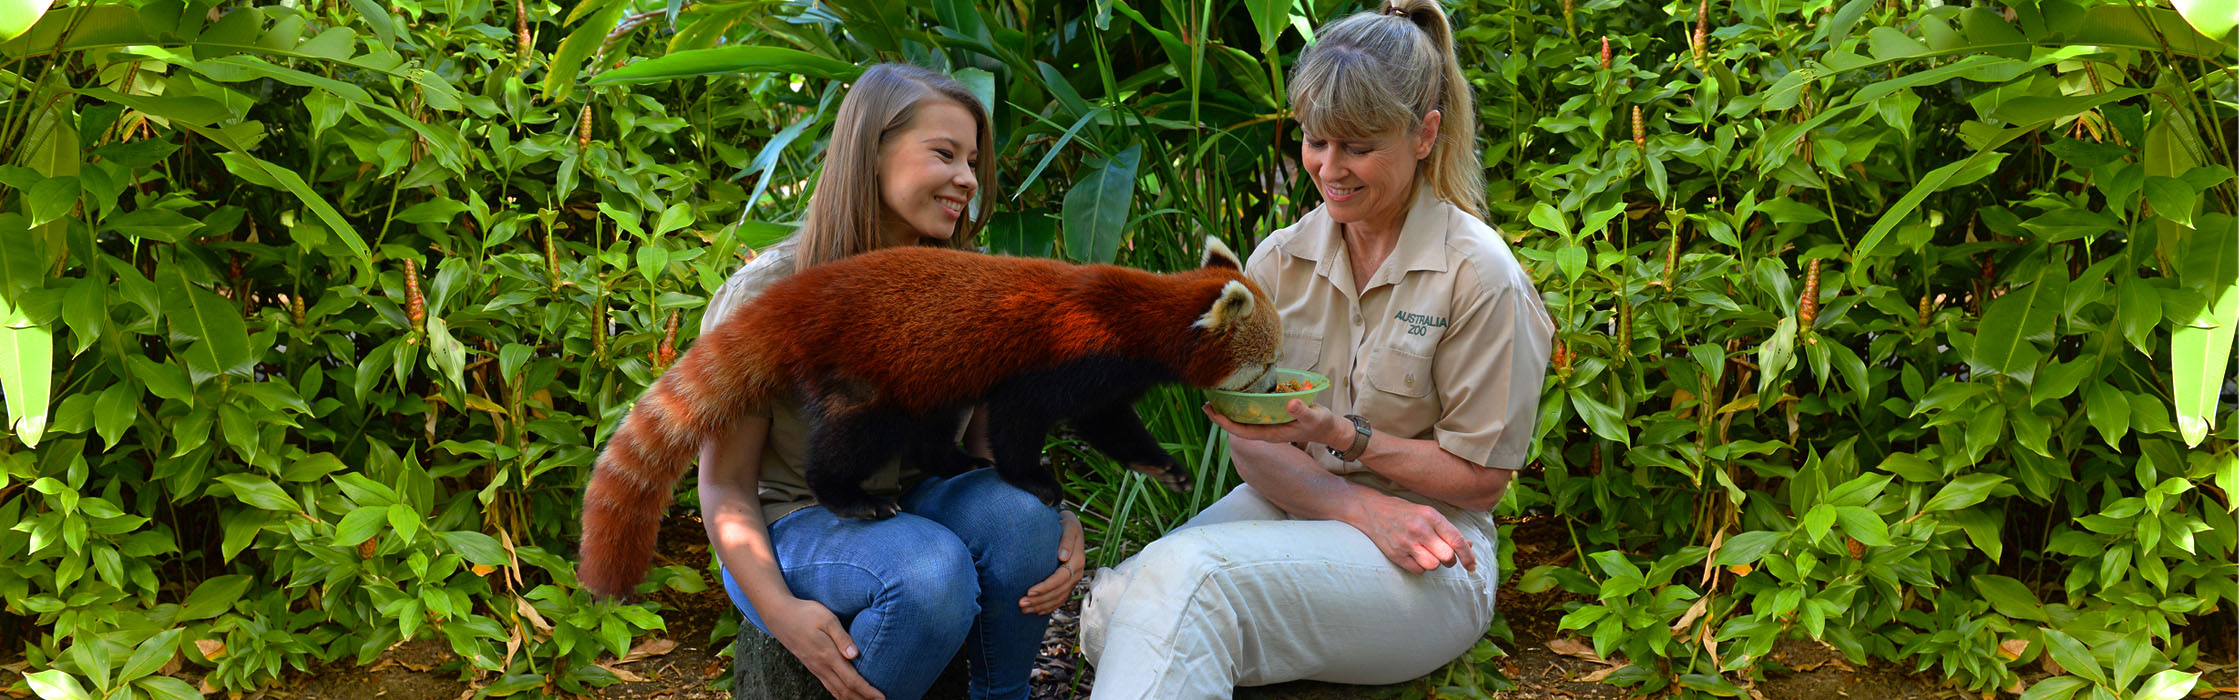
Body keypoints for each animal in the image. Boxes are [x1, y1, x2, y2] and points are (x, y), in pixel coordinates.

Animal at [573, 235, 1281, 596]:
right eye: (1268, 363)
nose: (1281, 385)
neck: (1137, 316)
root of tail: (803, 295)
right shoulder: (1070, 355)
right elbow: (1024, 420)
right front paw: (1035, 479)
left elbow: (1111, 426)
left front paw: (1163, 468)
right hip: (865, 372)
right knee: (852, 437)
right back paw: (850, 497)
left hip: (927, 374)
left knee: (932, 423)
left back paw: (955, 460)